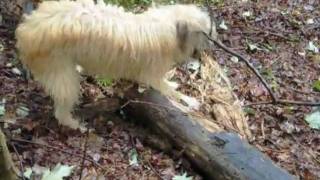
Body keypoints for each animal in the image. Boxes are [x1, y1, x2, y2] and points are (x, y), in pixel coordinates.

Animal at [16, 0, 219, 129]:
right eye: (204, 32)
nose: (212, 45)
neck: (167, 26)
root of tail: (25, 31)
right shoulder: (152, 75)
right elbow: (168, 90)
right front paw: (189, 100)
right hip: (61, 72)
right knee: (61, 108)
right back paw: (73, 124)